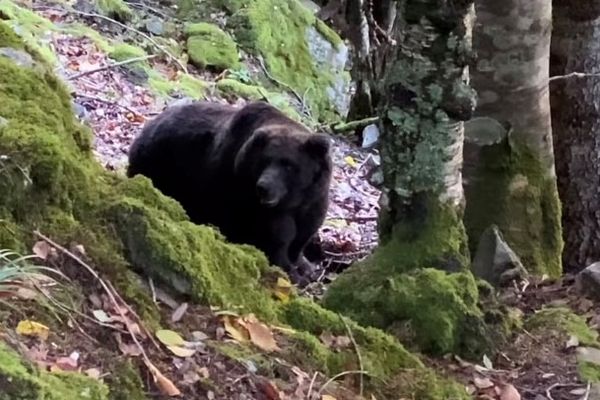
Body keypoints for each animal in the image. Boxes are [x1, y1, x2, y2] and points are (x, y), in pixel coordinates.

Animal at [126, 100, 332, 284]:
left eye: (289, 165)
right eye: (265, 161)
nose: (264, 187)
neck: (293, 200)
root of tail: (151, 123)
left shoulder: (314, 200)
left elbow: (304, 232)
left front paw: (304, 265)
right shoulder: (244, 195)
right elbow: (276, 237)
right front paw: (291, 271)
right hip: (161, 164)